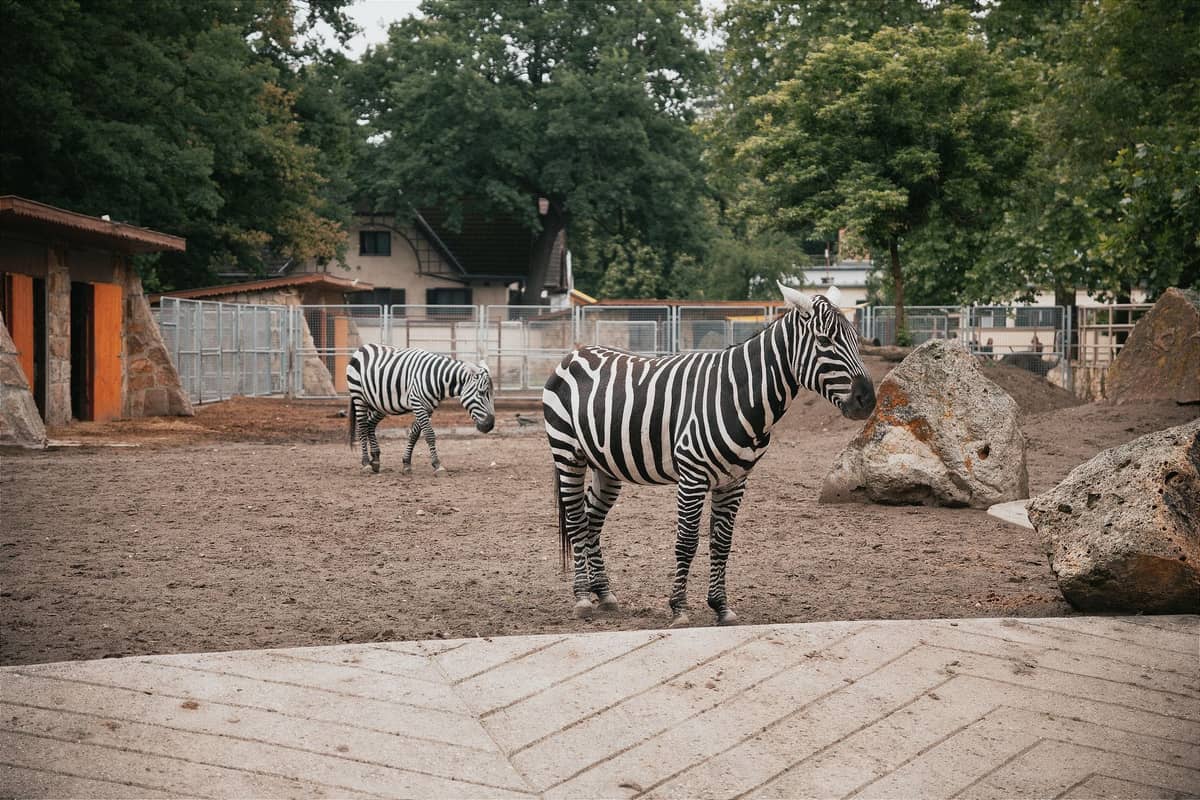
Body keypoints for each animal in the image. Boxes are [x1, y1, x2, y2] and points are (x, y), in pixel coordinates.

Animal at [347, 344, 495, 474]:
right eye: (481, 393)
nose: (490, 425)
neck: (437, 379)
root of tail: (362, 347)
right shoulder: (417, 403)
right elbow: (429, 434)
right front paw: (437, 465)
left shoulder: (428, 408)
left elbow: (414, 434)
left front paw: (406, 463)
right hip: (359, 397)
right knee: (362, 427)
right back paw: (366, 463)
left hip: (380, 403)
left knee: (370, 424)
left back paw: (376, 459)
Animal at [542, 284, 876, 626]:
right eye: (825, 340)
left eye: (854, 338)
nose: (868, 400)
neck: (740, 395)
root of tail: (576, 352)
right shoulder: (693, 475)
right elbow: (687, 541)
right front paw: (679, 608)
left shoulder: (735, 480)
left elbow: (722, 542)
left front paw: (721, 607)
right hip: (568, 452)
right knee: (576, 520)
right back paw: (583, 597)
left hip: (606, 464)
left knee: (592, 519)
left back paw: (604, 593)